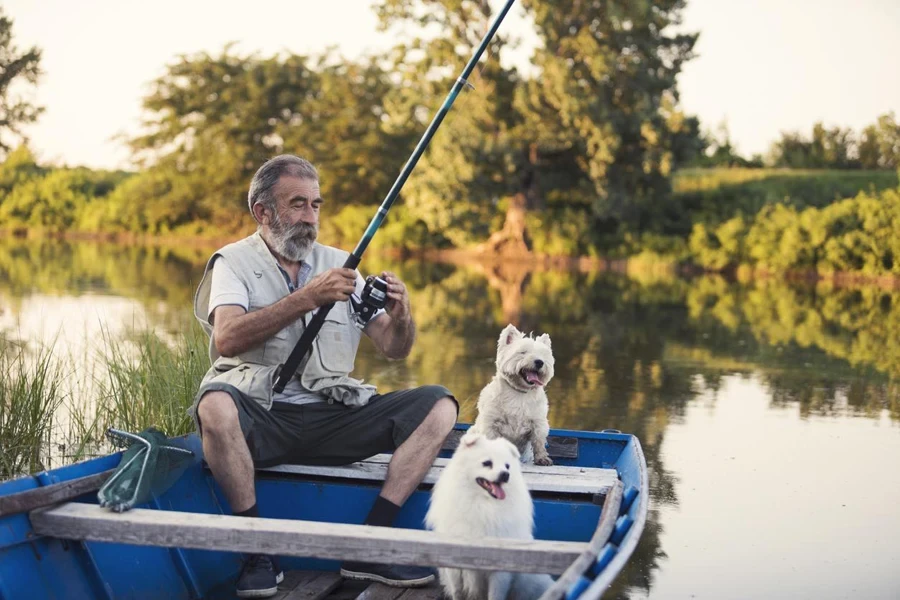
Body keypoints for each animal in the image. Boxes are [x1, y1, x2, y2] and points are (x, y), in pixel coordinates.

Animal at [426, 432, 552, 600]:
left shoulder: (499, 572)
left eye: (507, 466)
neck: (483, 506)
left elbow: (495, 595)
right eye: (487, 463)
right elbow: (457, 592)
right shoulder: (453, 568)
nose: (505, 475)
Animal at [472, 326, 556, 462]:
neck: (519, 393)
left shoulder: (538, 422)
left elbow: (539, 441)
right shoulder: (490, 423)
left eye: (543, 355)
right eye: (523, 352)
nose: (539, 362)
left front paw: (542, 458)